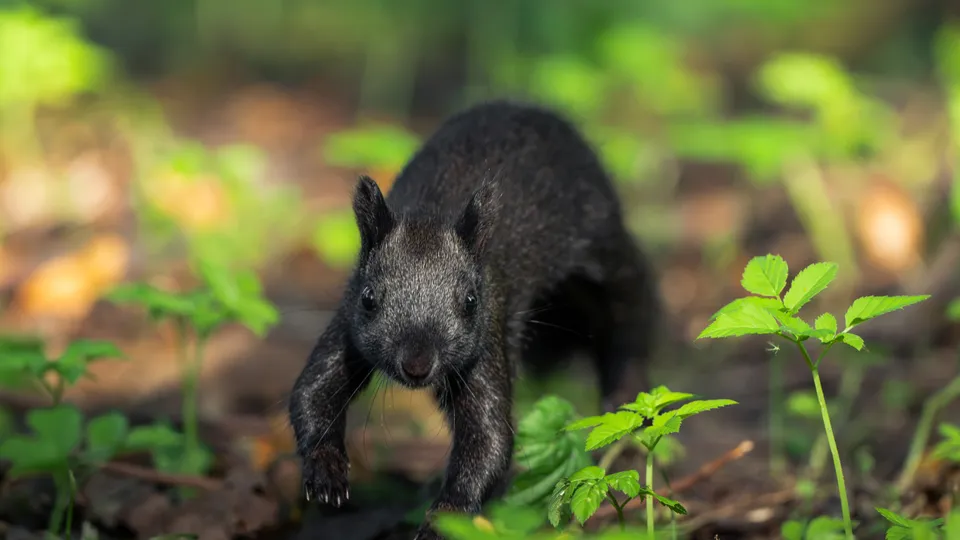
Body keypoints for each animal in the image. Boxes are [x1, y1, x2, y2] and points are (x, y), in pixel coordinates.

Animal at [288, 100, 661, 539]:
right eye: (369, 299)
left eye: (469, 301)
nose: (417, 366)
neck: (430, 215)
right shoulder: (347, 328)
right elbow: (312, 392)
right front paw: (326, 471)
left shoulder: (488, 337)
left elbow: (490, 439)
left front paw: (443, 518)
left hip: (603, 245)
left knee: (630, 313)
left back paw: (626, 394)